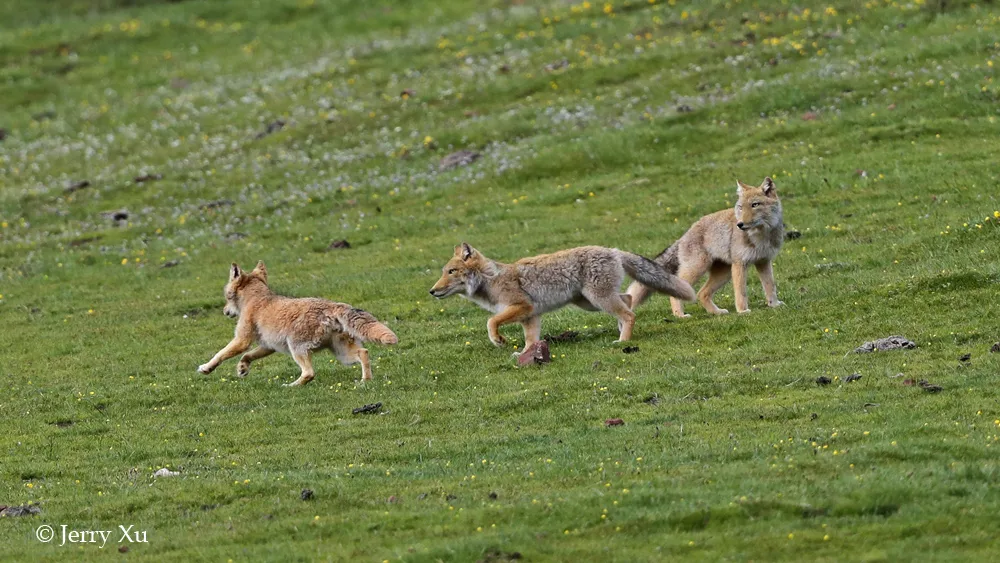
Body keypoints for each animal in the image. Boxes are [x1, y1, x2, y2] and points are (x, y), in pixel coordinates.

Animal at [195, 262, 398, 386]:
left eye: (226, 296)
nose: (225, 311)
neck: (257, 298)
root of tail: (332, 306)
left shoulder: (241, 340)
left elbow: (220, 354)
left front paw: (206, 368)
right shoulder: (268, 346)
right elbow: (247, 356)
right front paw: (242, 368)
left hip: (297, 348)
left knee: (309, 373)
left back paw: (290, 386)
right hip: (342, 355)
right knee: (364, 353)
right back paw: (365, 381)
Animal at [430, 246, 696, 350]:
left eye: (450, 272)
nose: (431, 291)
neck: (491, 278)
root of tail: (613, 251)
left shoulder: (522, 306)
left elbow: (490, 322)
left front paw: (498, 340)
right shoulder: (530, 316)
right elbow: (530, 340)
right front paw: (526, 354)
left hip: (597, 299)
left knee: (629, 313)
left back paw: (622, 341)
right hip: (589, 302)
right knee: (628, 299)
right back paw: (622, 332)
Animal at [628, 176, 784, 318]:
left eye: (755, 205)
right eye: (740, 207)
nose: (740, 224)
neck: (761, 236)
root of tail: (683, 236)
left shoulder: (764, 261)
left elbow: (770, 286)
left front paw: (774, 304)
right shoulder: (740, 263)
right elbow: (741, 292)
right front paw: (742, 311)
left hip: (724, 274)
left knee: (701, 293)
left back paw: (716, 312)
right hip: (699, 268)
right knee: (678, 292)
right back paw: (680, 315)